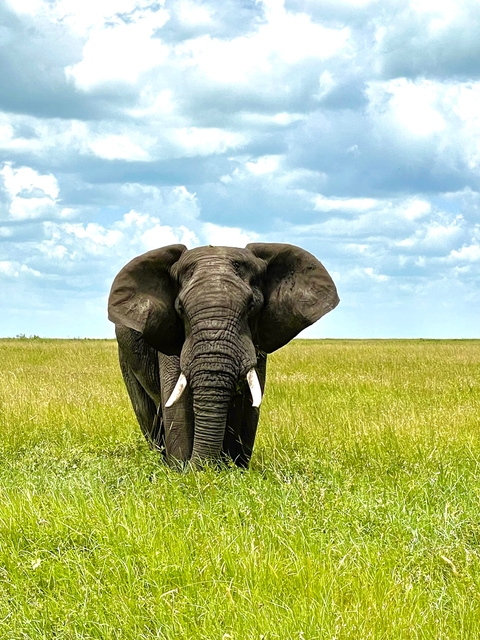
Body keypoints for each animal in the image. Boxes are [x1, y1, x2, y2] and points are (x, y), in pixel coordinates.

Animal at [108, 243, 339, 468]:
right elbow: (178, 407)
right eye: (180, 309)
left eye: (251, 306)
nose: (202, 467)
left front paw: (234, 469)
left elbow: (247, 405)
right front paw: (182, 470)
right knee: (148, 414)